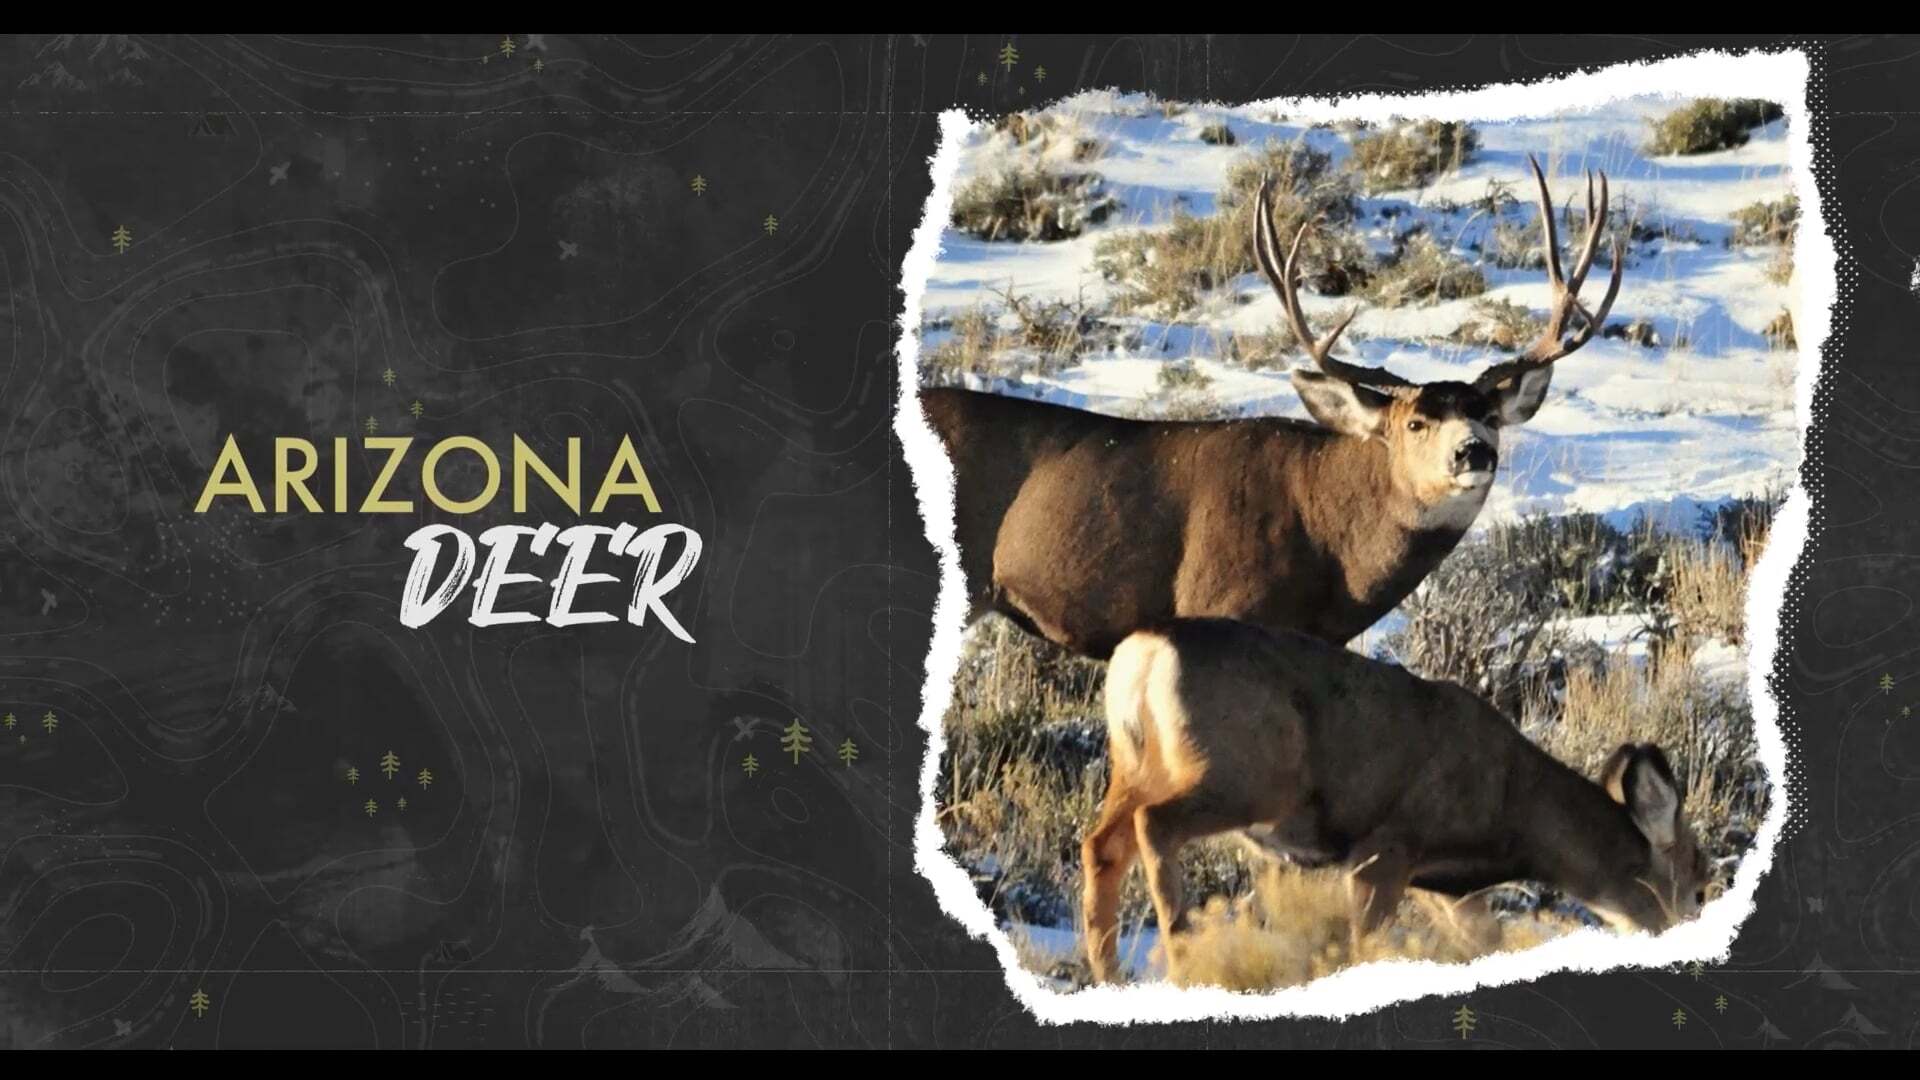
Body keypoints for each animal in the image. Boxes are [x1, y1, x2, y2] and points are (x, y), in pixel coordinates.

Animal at [1081, 618, 1713, 984]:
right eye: (1701, 882)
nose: (1686, 932)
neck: (1513, 811)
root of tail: (1144, 653)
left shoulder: (1440, 885)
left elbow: (1483, 942)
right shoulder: (1386, 846)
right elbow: (1367, 941)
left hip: (1137, 764)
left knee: (1100, 843)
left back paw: (1110, 973)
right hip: (1245, 776)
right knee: (1154, 824)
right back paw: (1182, 948)